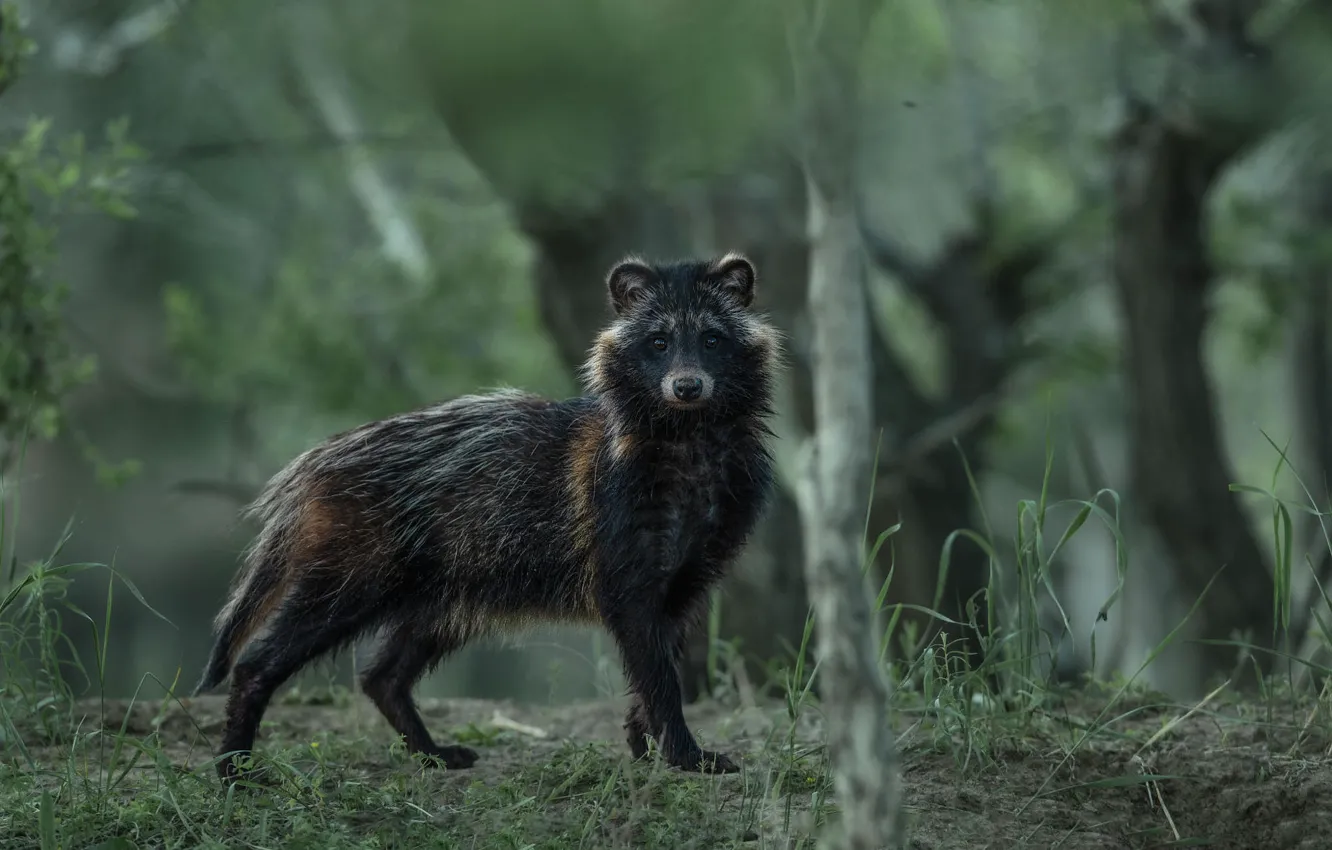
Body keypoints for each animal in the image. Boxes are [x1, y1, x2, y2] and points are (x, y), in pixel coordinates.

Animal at [193, 252, 781, 783]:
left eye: (712, 340)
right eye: (657, 342)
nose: (687, 386)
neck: (690, 440)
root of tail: (313, 464)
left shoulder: (693, 568)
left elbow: (660, 656)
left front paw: (645, 743)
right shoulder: (624, 550)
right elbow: (656, 670)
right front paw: (682, 752)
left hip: (445, 590)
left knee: (384, 675)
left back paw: (430, 751)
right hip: (356, 571)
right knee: (264, 658)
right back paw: (234, 763)